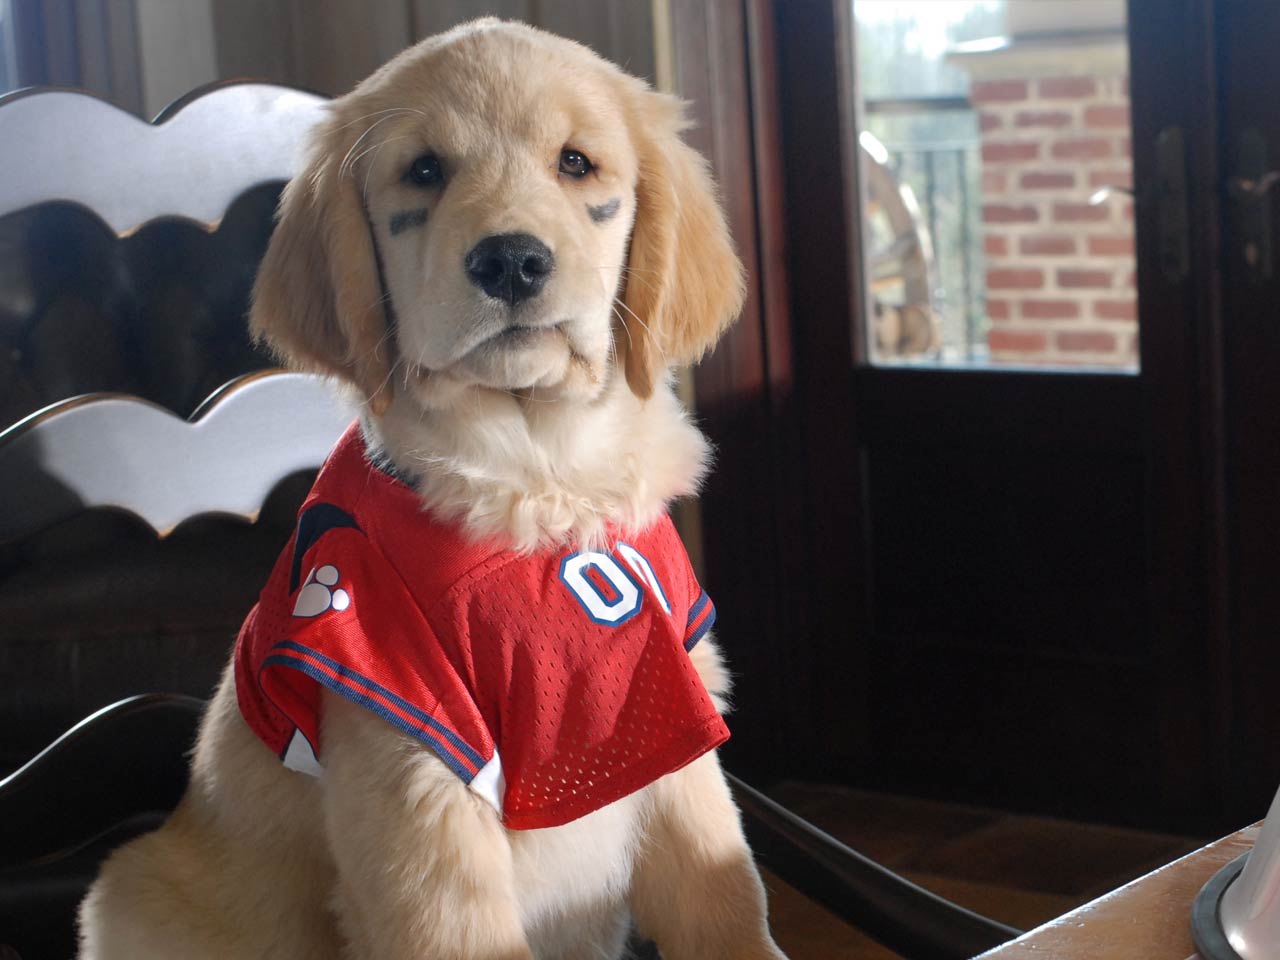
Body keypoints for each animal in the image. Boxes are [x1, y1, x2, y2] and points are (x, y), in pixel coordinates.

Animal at [80, 16, 788, 960]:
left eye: (575, 163)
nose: (512, 261)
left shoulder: (674, 710)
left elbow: (726, 902)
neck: (540, 477)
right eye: (424, 171)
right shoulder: (412, 758)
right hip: (134, 894)